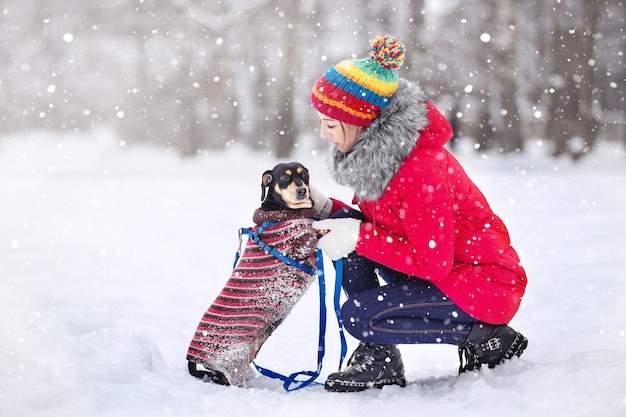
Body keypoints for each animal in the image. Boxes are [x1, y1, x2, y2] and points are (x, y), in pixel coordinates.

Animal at [186, 161, 320, 386]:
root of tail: (191, 358)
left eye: (305, 175)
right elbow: (314, 235)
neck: (281, 213)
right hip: (234, 360)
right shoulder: (297, 249)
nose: (302, 190)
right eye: (284, 178)